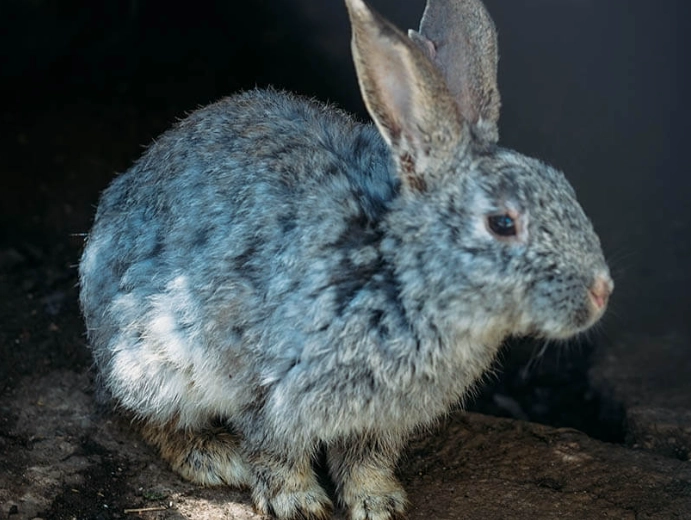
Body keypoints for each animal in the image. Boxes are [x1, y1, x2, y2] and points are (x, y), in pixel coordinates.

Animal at [78, 0, 613, 518]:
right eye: (502, 223)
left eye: (564, 187)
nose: (602, 292)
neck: (399, 272)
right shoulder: (266, 384)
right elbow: (274, 448)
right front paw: (299, 503)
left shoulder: (379, 419)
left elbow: (365, 459)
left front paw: (379, 503)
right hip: (150, 361)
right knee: (150, 419)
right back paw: (217, 458)